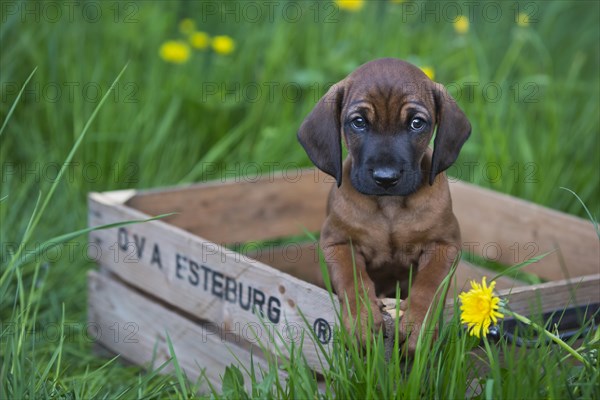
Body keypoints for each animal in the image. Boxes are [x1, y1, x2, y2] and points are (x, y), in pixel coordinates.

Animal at [298, 57, 472, 354]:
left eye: (416, 123)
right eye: (358, 122)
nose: (386, 178)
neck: (389, 206)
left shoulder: (445, 244)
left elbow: (430, 283)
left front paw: (418, 325)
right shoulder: (337, 242)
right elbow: (352, 277)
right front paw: (363, 317)